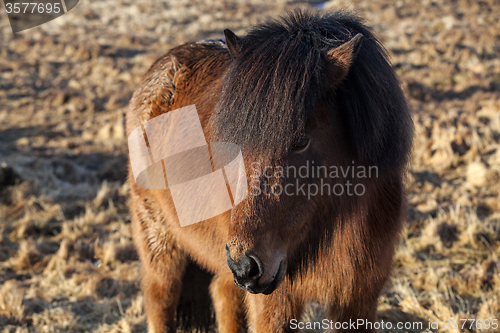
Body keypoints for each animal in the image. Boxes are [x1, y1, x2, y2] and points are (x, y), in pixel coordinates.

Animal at [126, 9, 414, 330]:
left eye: (300, 141)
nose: (245, 266)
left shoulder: (359, 299)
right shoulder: (275, 302)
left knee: (223, 295)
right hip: (161, 243)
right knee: (160, 298)